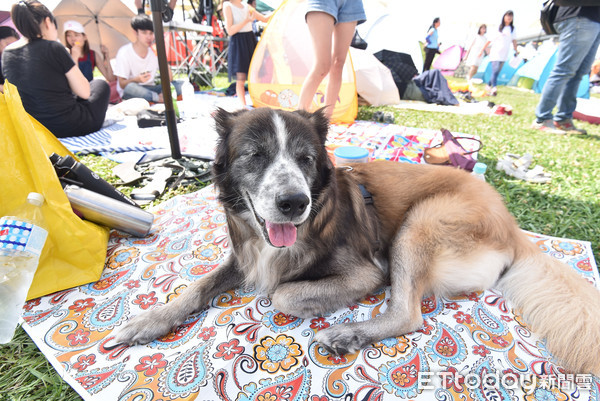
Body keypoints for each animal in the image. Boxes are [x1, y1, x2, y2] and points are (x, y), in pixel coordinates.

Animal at [115, 107, 600, 376]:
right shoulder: (246, 255)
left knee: (407, 315)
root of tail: (512, 226)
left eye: (306, 159)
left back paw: (347, 334)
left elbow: (282, 293)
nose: (294, 203)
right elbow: (197, 286)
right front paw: (149, 321)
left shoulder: (366, 271)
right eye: (255, 156)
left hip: (419, 225)